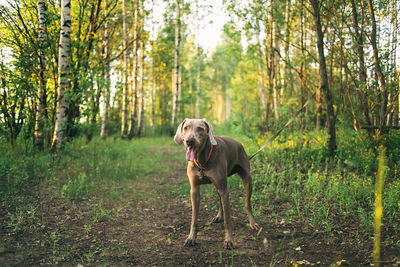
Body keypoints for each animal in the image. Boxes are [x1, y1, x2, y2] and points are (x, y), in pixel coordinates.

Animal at [174, 118, 260, 250]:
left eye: (200, 128)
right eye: (186, 128)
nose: (190, 141)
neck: (202, 161)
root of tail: (239, 143)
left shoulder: (224, 189)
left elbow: (228, 221)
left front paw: (228, 240)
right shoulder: (194, 190)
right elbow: (194, 218)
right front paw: (191, 238)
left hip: (246, 179)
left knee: (247, 203)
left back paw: (252, 222)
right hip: (219, 186)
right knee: (220, 200)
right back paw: (219, 215)